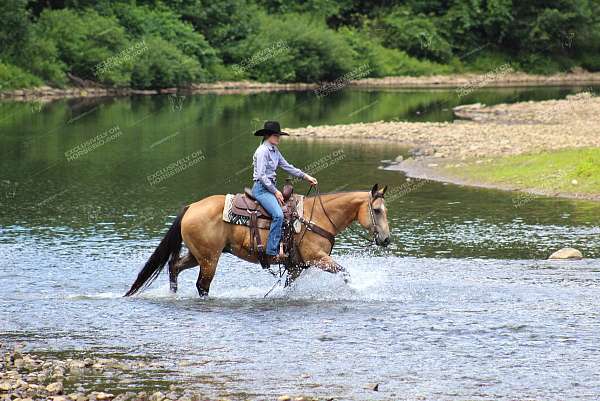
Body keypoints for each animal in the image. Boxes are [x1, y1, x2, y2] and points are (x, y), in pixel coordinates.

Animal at [124, 183, 392, 296]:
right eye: (377, 210)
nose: (386, 239)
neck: (317, 217)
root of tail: (191, 207)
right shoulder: (317, 258)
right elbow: (345, 272)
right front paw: (357, 289)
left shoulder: (296, 266)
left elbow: (289, 287)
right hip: (209, 259)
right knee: (202, 285)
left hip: (197, 254)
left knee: (174, 266)